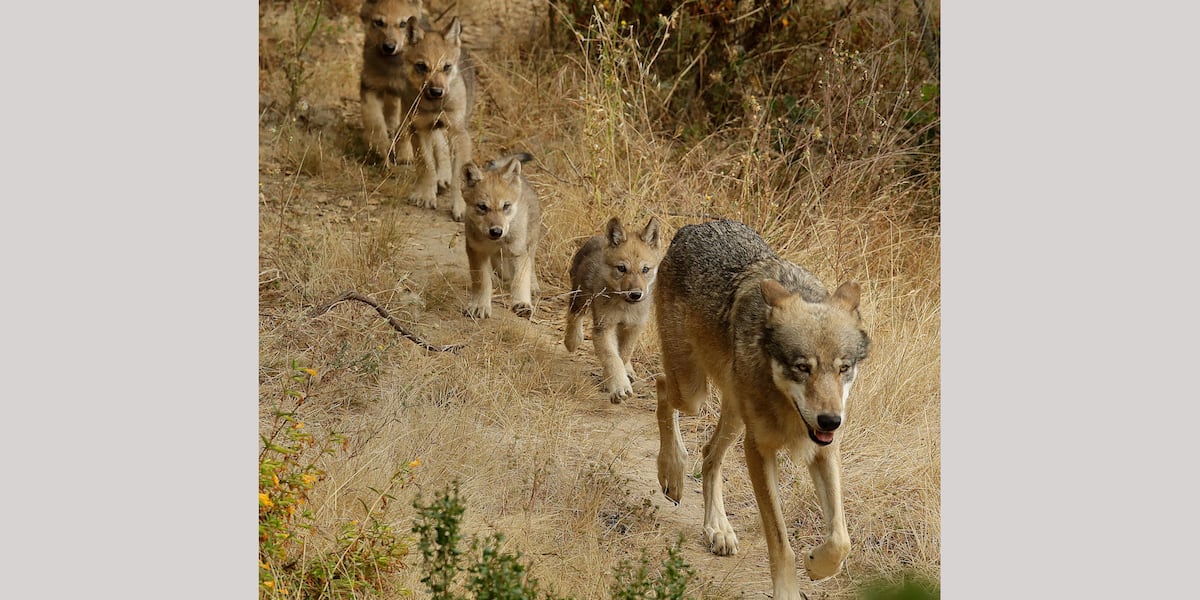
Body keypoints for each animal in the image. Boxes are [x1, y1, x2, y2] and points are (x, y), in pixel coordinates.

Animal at [358, 0, 427, 164]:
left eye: (403, 24)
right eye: (379, 22)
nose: (389, 47)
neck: (392, 69)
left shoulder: (412, 99)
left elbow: (404, 129)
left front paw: (404, 155)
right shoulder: (370, 86)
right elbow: (374, 122)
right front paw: (380, 149)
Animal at [400, 15, 476, 221]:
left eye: (446, 67)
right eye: (421, 66)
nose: (436, 91)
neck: (434, 106)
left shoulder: (459, 133)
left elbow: (458, 176)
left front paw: (460, 207)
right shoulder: (420, 129)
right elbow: (426, 165)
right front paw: (426, 195)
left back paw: (443, 178)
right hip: (414, 123)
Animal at [461, 153, 542, 319]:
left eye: (506, 206)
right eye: (482, 207)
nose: (496, 231)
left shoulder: (518, 252)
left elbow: (520, 280)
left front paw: (522, 303)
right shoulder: (476, 252)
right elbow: (482, 281)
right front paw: (480, 306)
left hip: (530, 245)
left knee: (530, 266)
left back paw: (534, 286)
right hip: (500, 264)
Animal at [563, 216, 663, 403]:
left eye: (645, 269)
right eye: (622, 268)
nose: (635, 294)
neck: (625, 308)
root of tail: (597, 237)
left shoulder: (634, 327)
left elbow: (623, 355)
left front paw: (612, 380)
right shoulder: (603, 328)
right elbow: (612, 358)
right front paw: (619, 387)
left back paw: (629, 371)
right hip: (580, 297)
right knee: (574, 316)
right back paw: (573, 340)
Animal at [653, 220, 870, 599]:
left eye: (843, 368)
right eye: (802, 367)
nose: (831, 420)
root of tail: (694, 226)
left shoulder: (823, 450)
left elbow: (841, 539)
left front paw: (816, 565)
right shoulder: (759, 450)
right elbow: (780, 541)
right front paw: (786, 590)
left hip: (734, 417)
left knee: (709, 454)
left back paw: (718, 529)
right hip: (693, 393)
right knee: (661, 388)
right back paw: (672, 473)